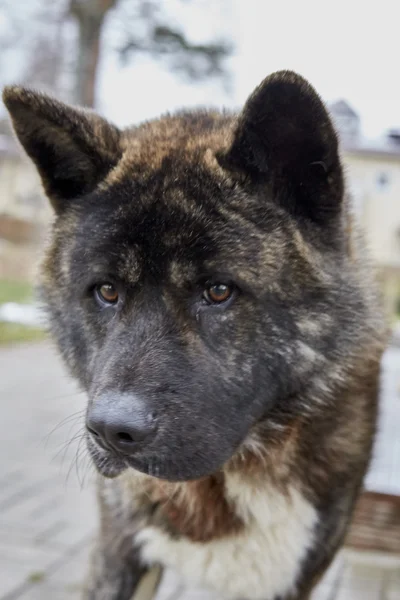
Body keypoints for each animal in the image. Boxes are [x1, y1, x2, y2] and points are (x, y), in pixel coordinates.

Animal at [1, 71, 386, 600]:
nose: (113, 431)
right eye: (106, 291)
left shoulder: (295, 571)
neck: (225, 481)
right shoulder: (120, 549)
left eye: (218, 290)